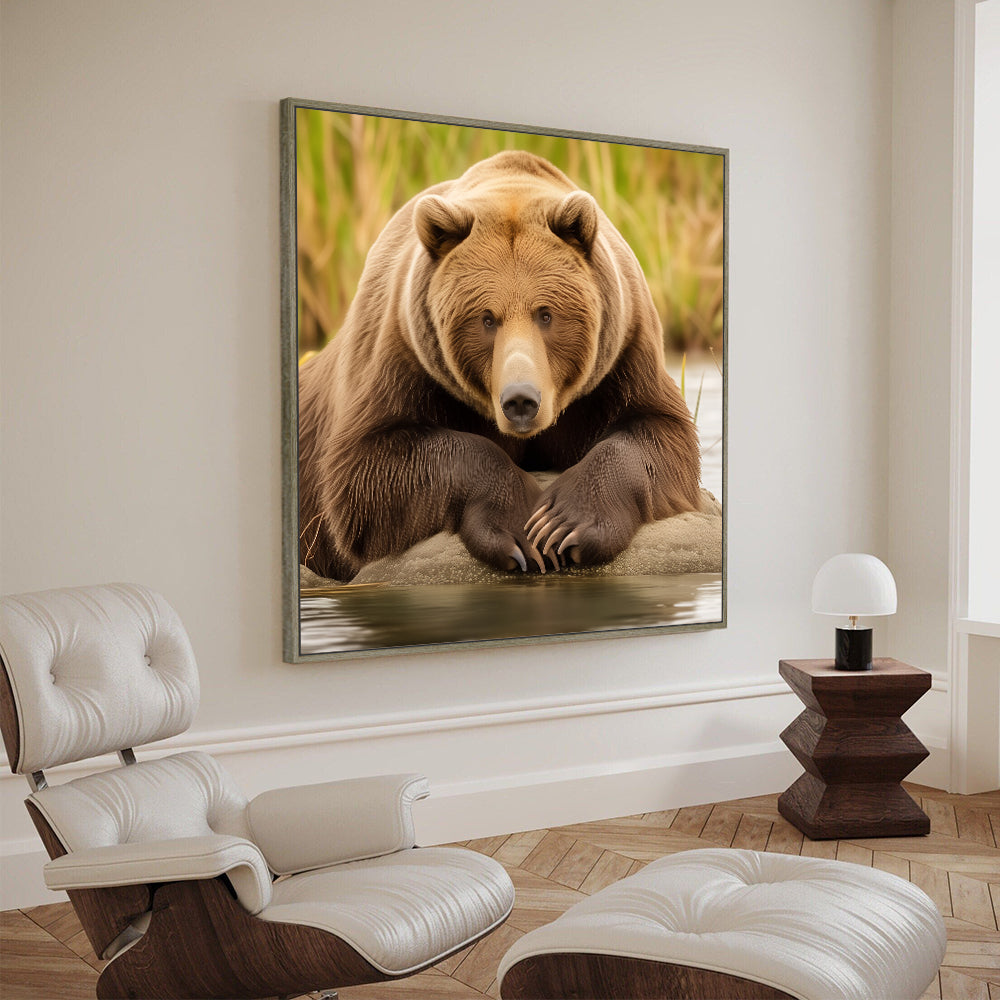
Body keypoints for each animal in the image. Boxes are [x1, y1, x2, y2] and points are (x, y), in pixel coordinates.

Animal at [298, 150, 701, 582]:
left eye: (545, 313)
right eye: (487, 319)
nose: (521, 400)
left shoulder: (622, 354)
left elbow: (658, 432)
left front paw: (564, 524)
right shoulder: (402, 356)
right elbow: (367, 470)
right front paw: (521, 527)